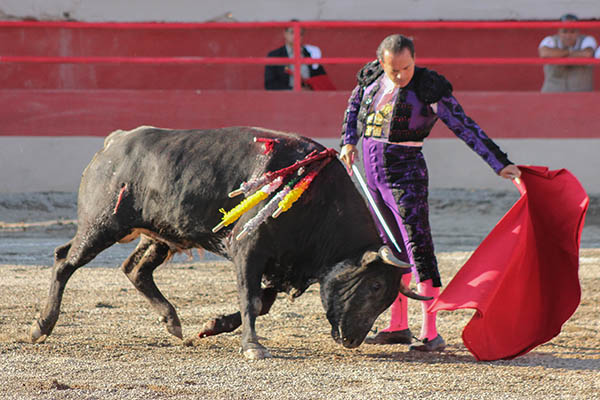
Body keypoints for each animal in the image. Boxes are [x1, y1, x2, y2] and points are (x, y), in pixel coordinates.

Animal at [30, 126, 428, 360]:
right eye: (374, 286)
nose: (353, 340)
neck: (319, 201)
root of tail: (114, 143)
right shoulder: (248, 249)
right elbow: (251, 299)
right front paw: (253, 347)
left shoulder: (278, 263)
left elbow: (261, 302)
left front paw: (211, 325)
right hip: (101, 225)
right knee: (65, 261)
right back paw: (42, 326)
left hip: (159, 234)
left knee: (136, 269)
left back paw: (173, 322)